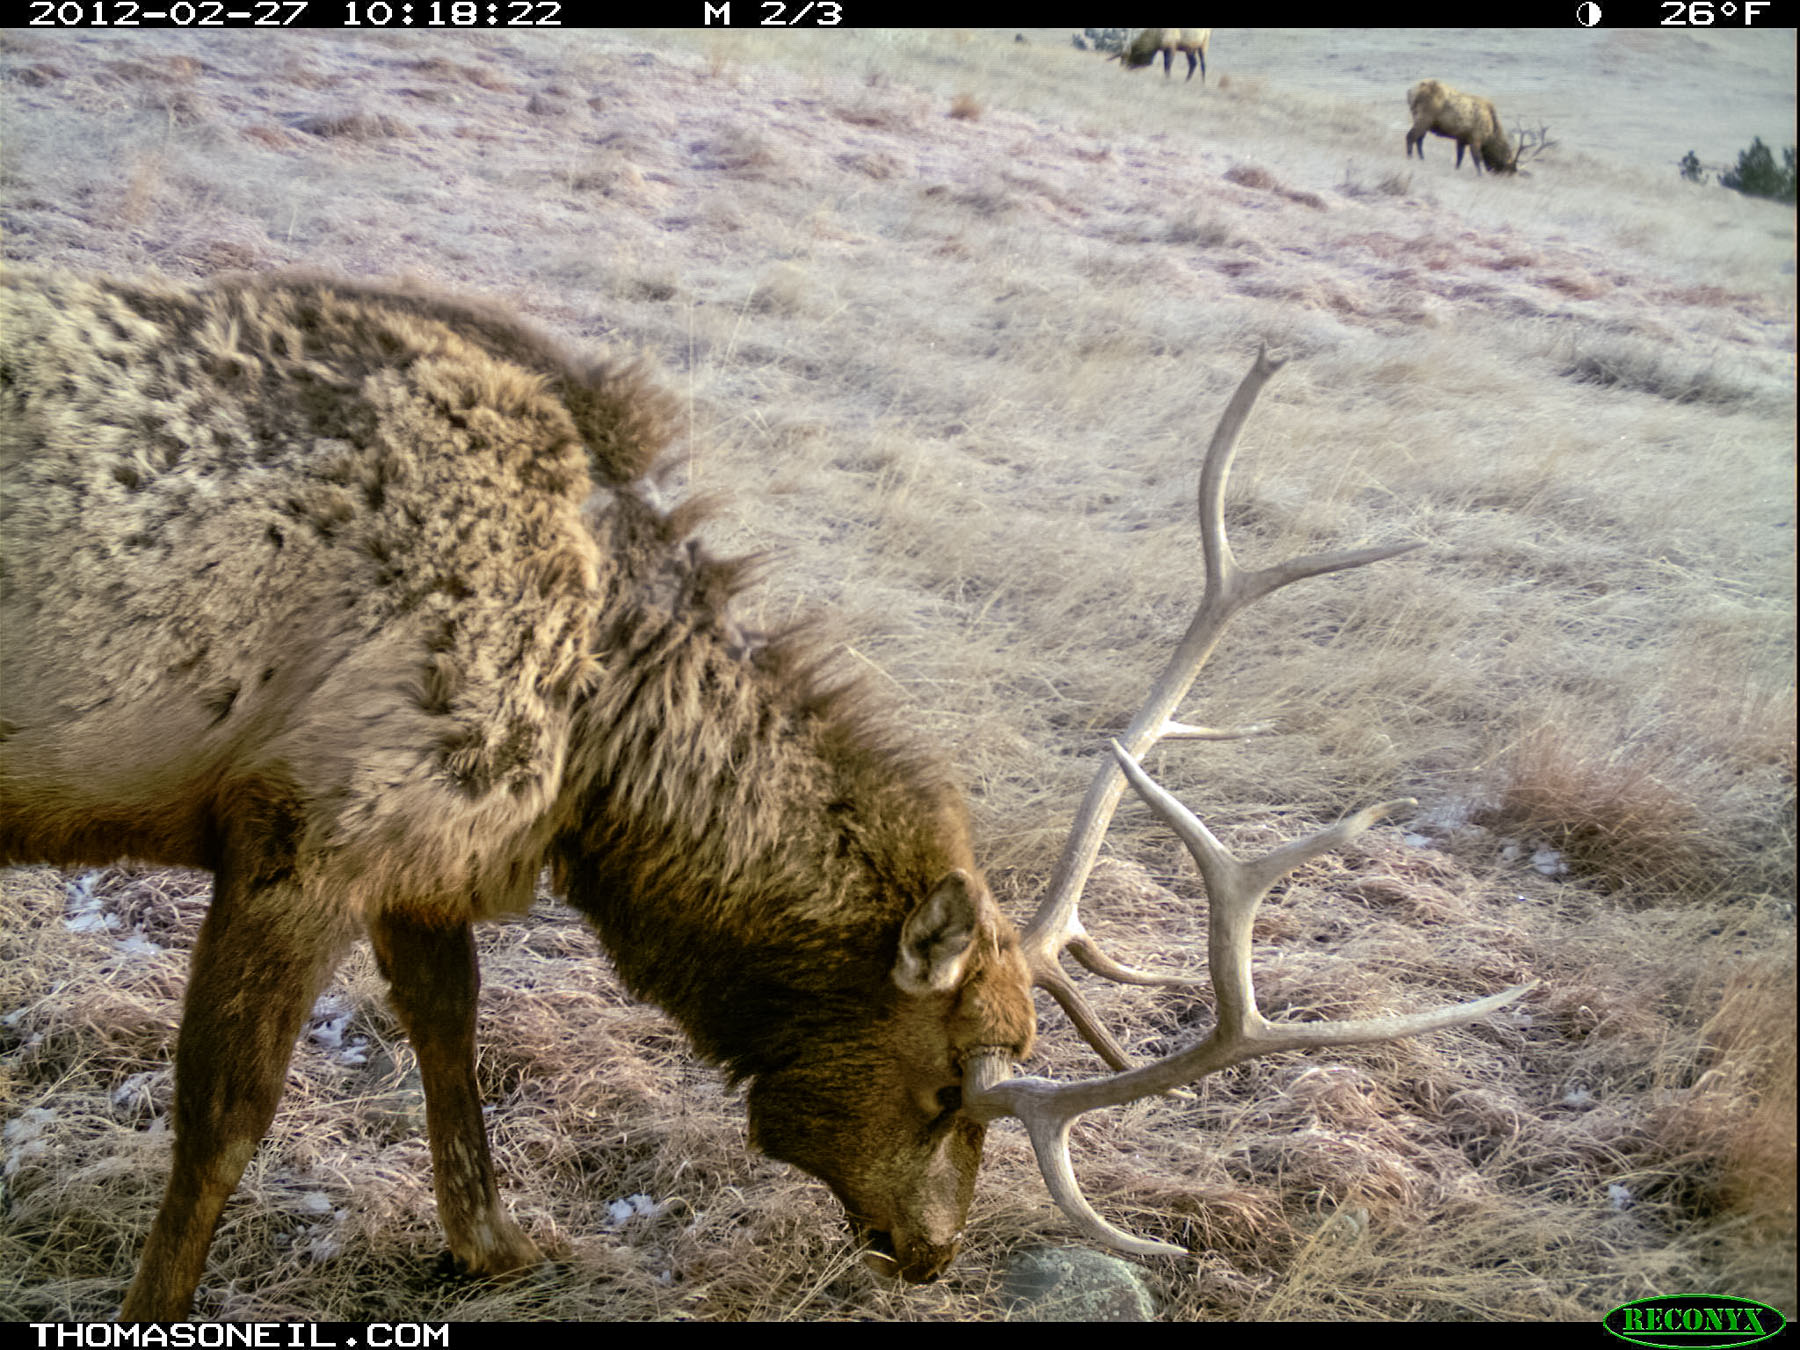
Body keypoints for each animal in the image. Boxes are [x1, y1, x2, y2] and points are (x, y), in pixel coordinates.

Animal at [0, 267, 1534, 1317]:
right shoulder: (306, 824)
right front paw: (155, 1307)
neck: (598, 721)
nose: (936, 1250)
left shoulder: (427, 844)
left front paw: (497, 1244)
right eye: (948, 1088)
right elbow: (224, 1118)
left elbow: (451, 1029)